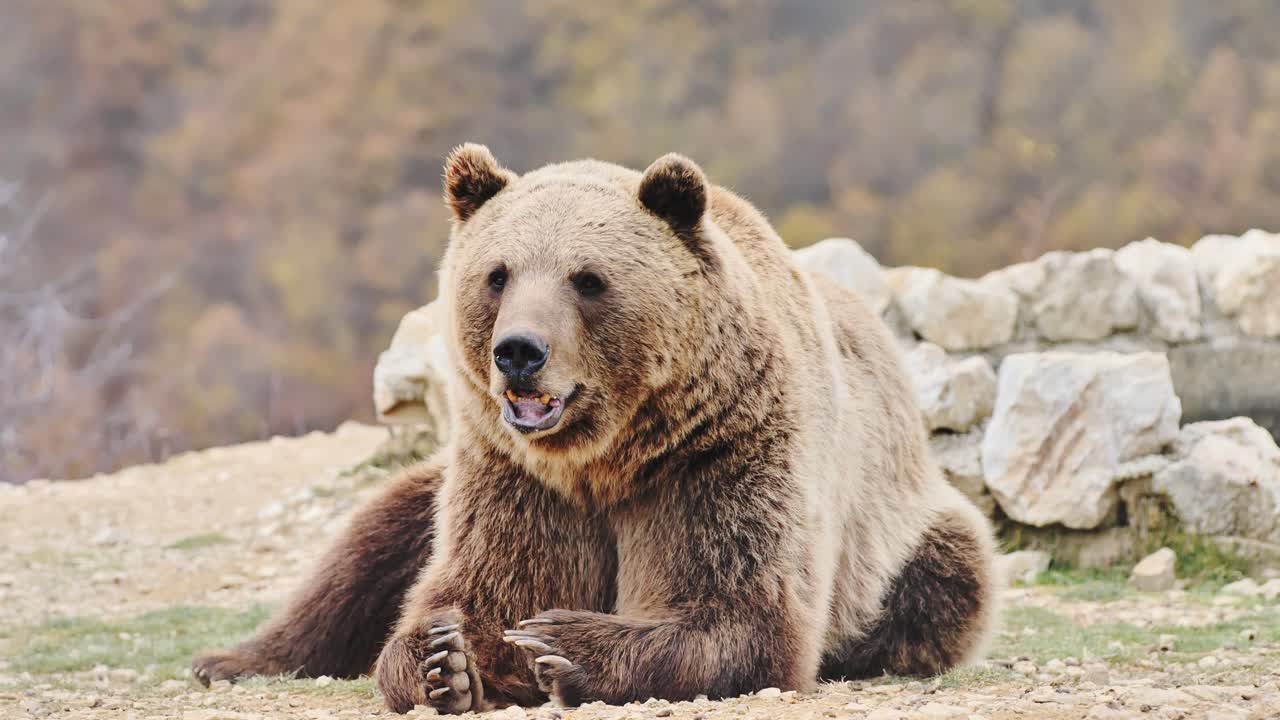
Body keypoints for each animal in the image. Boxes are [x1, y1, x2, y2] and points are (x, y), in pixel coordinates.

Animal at [192, 144, 999, 714]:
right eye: (498, 273)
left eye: (588, 279)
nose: (519, 351)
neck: (607, 457)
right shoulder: (513, 475)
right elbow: (477, 585)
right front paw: (444, 658)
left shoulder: (724, 451)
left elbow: (740, 609)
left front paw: (564, 644)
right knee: (367, 544)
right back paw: (230, 660)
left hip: (902, 529)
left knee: (942, 583)